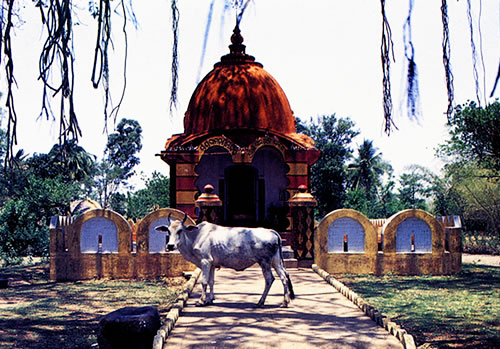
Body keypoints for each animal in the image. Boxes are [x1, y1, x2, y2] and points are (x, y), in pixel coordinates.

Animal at [155, 212, 292, 308]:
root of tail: (271, 231)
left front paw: (201, 301)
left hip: (264, 262)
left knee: (269, 279)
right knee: (284, 277)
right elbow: (211, 281)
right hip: (276, 261)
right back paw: (285, 302)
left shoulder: (205, 261)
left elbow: (204, 281)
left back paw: (261, 302)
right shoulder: (212, 264)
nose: (170, 246)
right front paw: (210, 299)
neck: (195, 236)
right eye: (168, 231)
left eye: (180, 230)